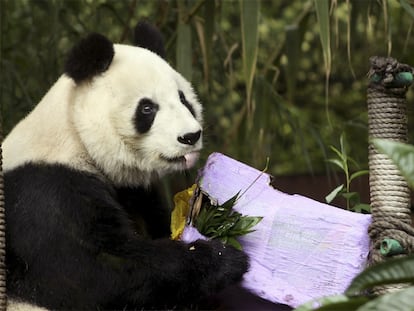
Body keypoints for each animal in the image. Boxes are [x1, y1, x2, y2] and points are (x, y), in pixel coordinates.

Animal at [2, 22, 249, 311]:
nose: (190, 136)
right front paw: (221, 256)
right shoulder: (45, 194)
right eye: (147, 108)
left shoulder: (135, 191)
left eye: (183, 99)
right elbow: (91, 272)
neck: (76, 138)